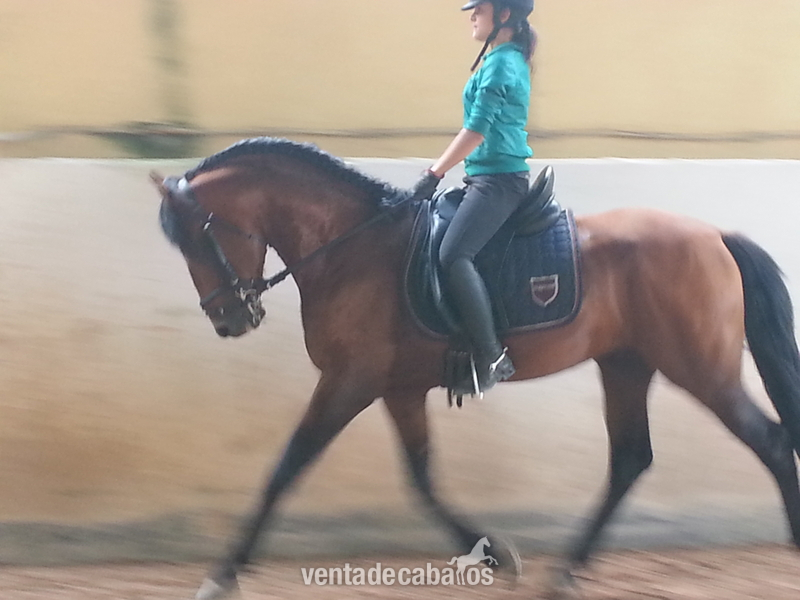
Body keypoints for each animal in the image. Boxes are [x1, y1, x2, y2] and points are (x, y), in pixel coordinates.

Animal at [152, 137, 800, 600]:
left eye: (198, 239)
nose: (231, 321)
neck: (350, 247)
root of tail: (715, 235)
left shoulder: (349, 381)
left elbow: (287, 467)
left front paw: (220, 576)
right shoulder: (398, 387)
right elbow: (421, 477)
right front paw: (495, 555)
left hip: (699, 367)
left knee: (768, 441)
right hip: (626, 363)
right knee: (630, 458)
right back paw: (564, 574)